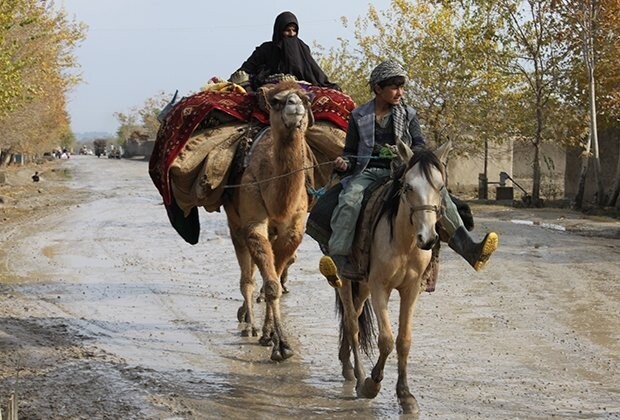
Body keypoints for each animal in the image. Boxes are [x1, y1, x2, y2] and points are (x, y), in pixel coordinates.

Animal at [223, 81, 314, 360]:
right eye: (276, 101)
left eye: (307, 99)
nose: (295, 106)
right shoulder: (253, 219)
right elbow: (270, 282)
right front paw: (281, 344)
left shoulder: (293, 230)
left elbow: (275, 280)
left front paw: (272, 336)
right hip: (235, 223)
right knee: (247, 276)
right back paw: (248, 324)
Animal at [336, 141, 448, 414]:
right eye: (408, 187)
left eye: (440, 186)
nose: (427, 238)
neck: (404, 243)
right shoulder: (380, 288)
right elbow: (386, 339)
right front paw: (372, 384)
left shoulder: (411, 290)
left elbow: (404, 340)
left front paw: (406, 396)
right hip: (346, 278)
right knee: (352, 323)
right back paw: (359, 375)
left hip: (363, 284)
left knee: (354, 317)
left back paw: (347, 366)